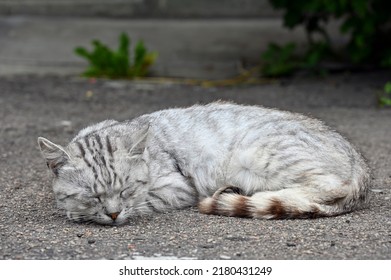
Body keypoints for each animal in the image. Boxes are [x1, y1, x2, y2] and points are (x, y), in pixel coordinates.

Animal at [36, 102, 370, 225]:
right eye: (93, 196)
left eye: (127, 190)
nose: (114, 214)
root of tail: (361, 164)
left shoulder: (177, 187)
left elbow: (148, 200)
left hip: (260, 152)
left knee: (328, 188)